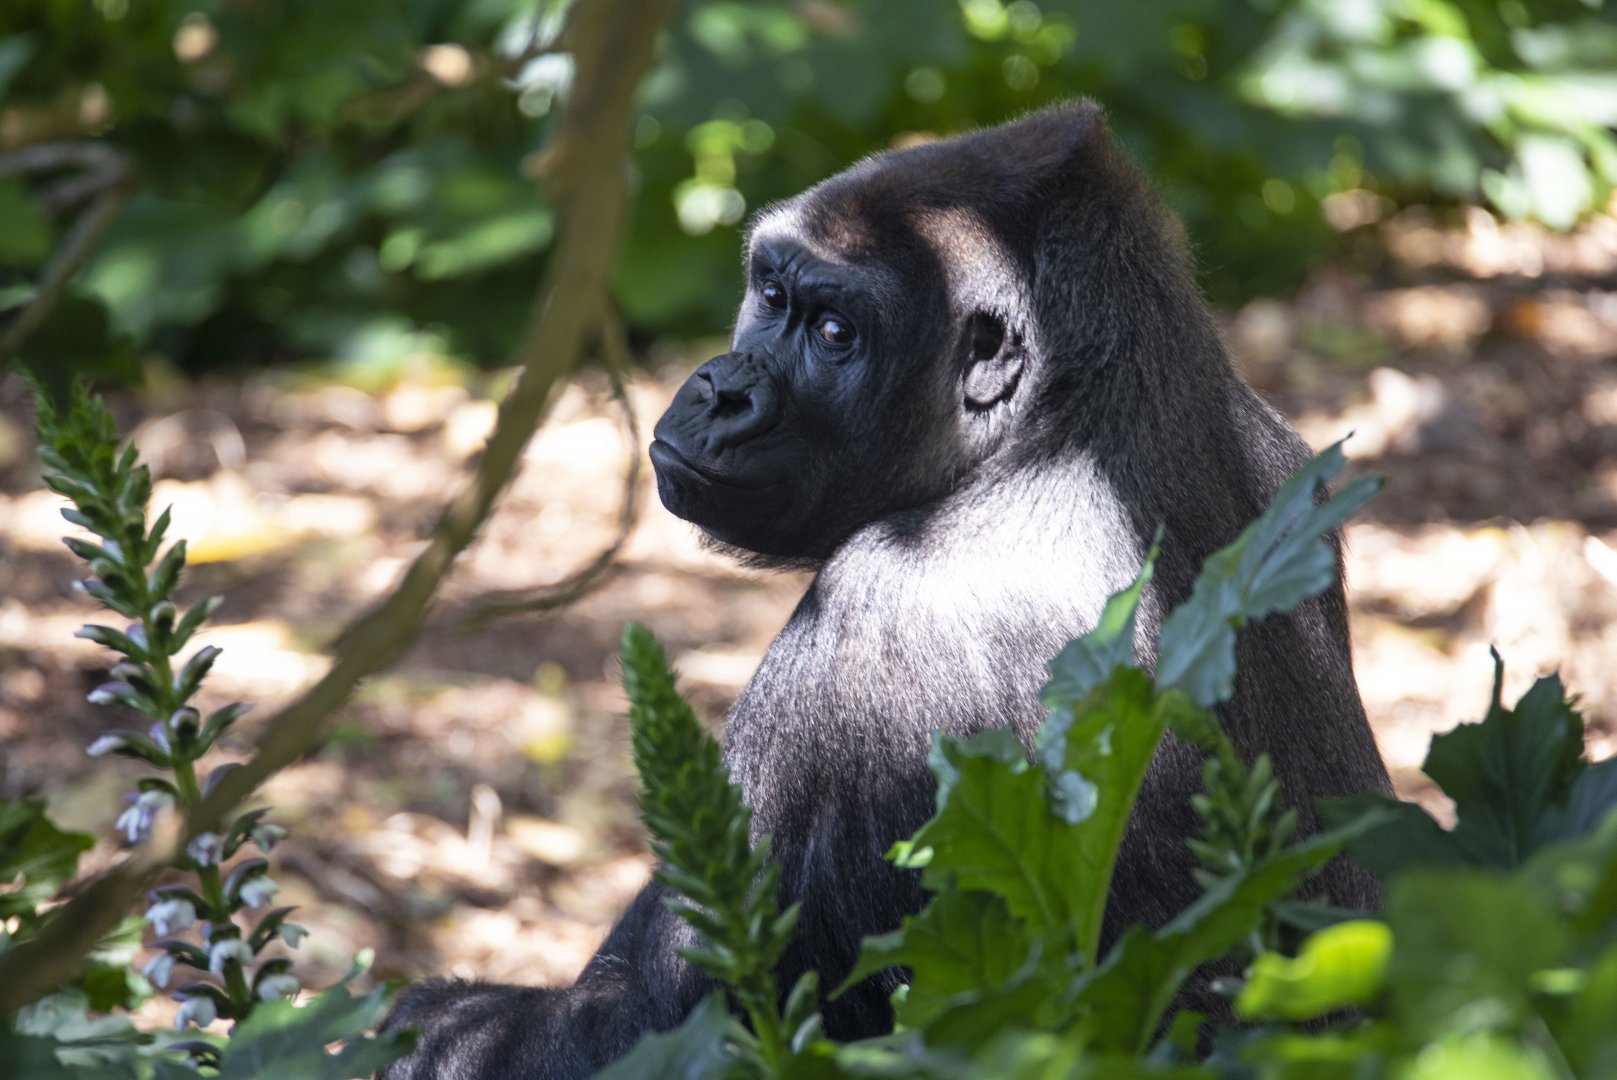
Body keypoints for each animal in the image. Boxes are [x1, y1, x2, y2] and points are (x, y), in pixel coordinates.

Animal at [380, 100, 1391, 1078]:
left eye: (834, 333)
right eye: (771, 295)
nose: (719, 391)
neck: (1066, 420)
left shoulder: (873, 622)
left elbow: (658, 1031)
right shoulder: (1285, 467)